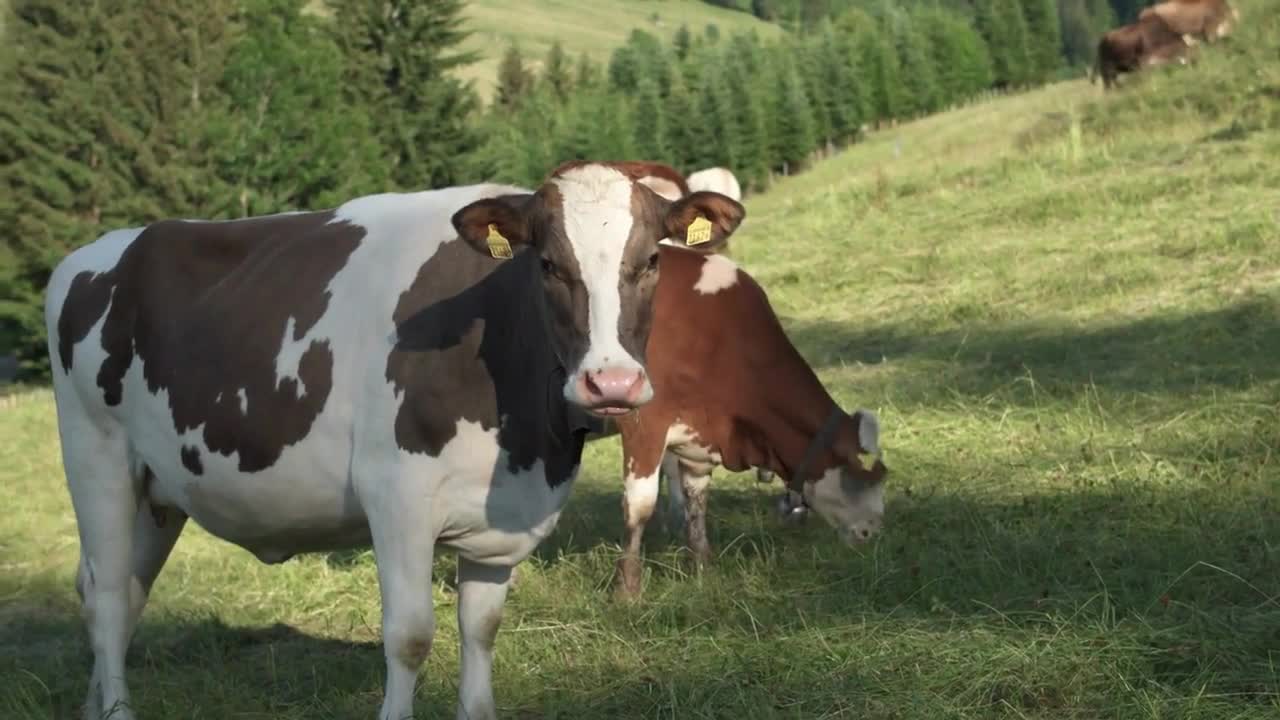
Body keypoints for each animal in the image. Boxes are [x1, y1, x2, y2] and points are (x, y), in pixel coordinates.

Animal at [45, 162, 747, 717]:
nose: (611, 382)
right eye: (548, 264)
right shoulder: (396, 497)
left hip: (158, 490)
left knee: (123, 590)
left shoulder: (503, 521)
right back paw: (115, 710)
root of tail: (98, 251)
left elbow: (481, 632)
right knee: (106, 597)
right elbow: (409, 636)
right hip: (95, 455)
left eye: (652, 260)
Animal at [593, 243, 885, 597]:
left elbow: (696, 499)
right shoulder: (644, 422)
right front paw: (627, 589)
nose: (872, 530)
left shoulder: (697, 435)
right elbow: (639, 506)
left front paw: (702, 570)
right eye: (858, 469)